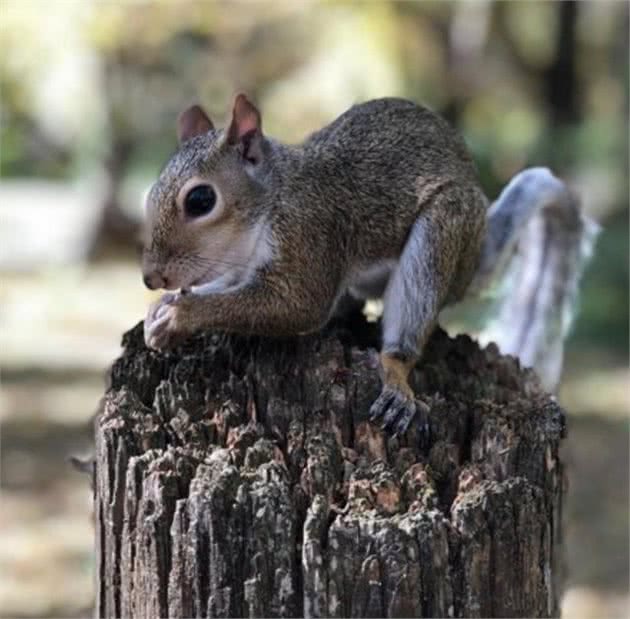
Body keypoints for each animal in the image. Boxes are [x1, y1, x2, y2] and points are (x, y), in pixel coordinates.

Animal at [142, 95, 596, 436]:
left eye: (201, 200)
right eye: (150, 194)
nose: (150, 278)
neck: (273, 199)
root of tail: (474, 256)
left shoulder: (310, 235)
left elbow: (299, 305)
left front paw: (181, 314)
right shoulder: (238, 269)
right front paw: (160, 310)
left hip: (441, 234)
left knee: (406, 329)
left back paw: (396, 381)